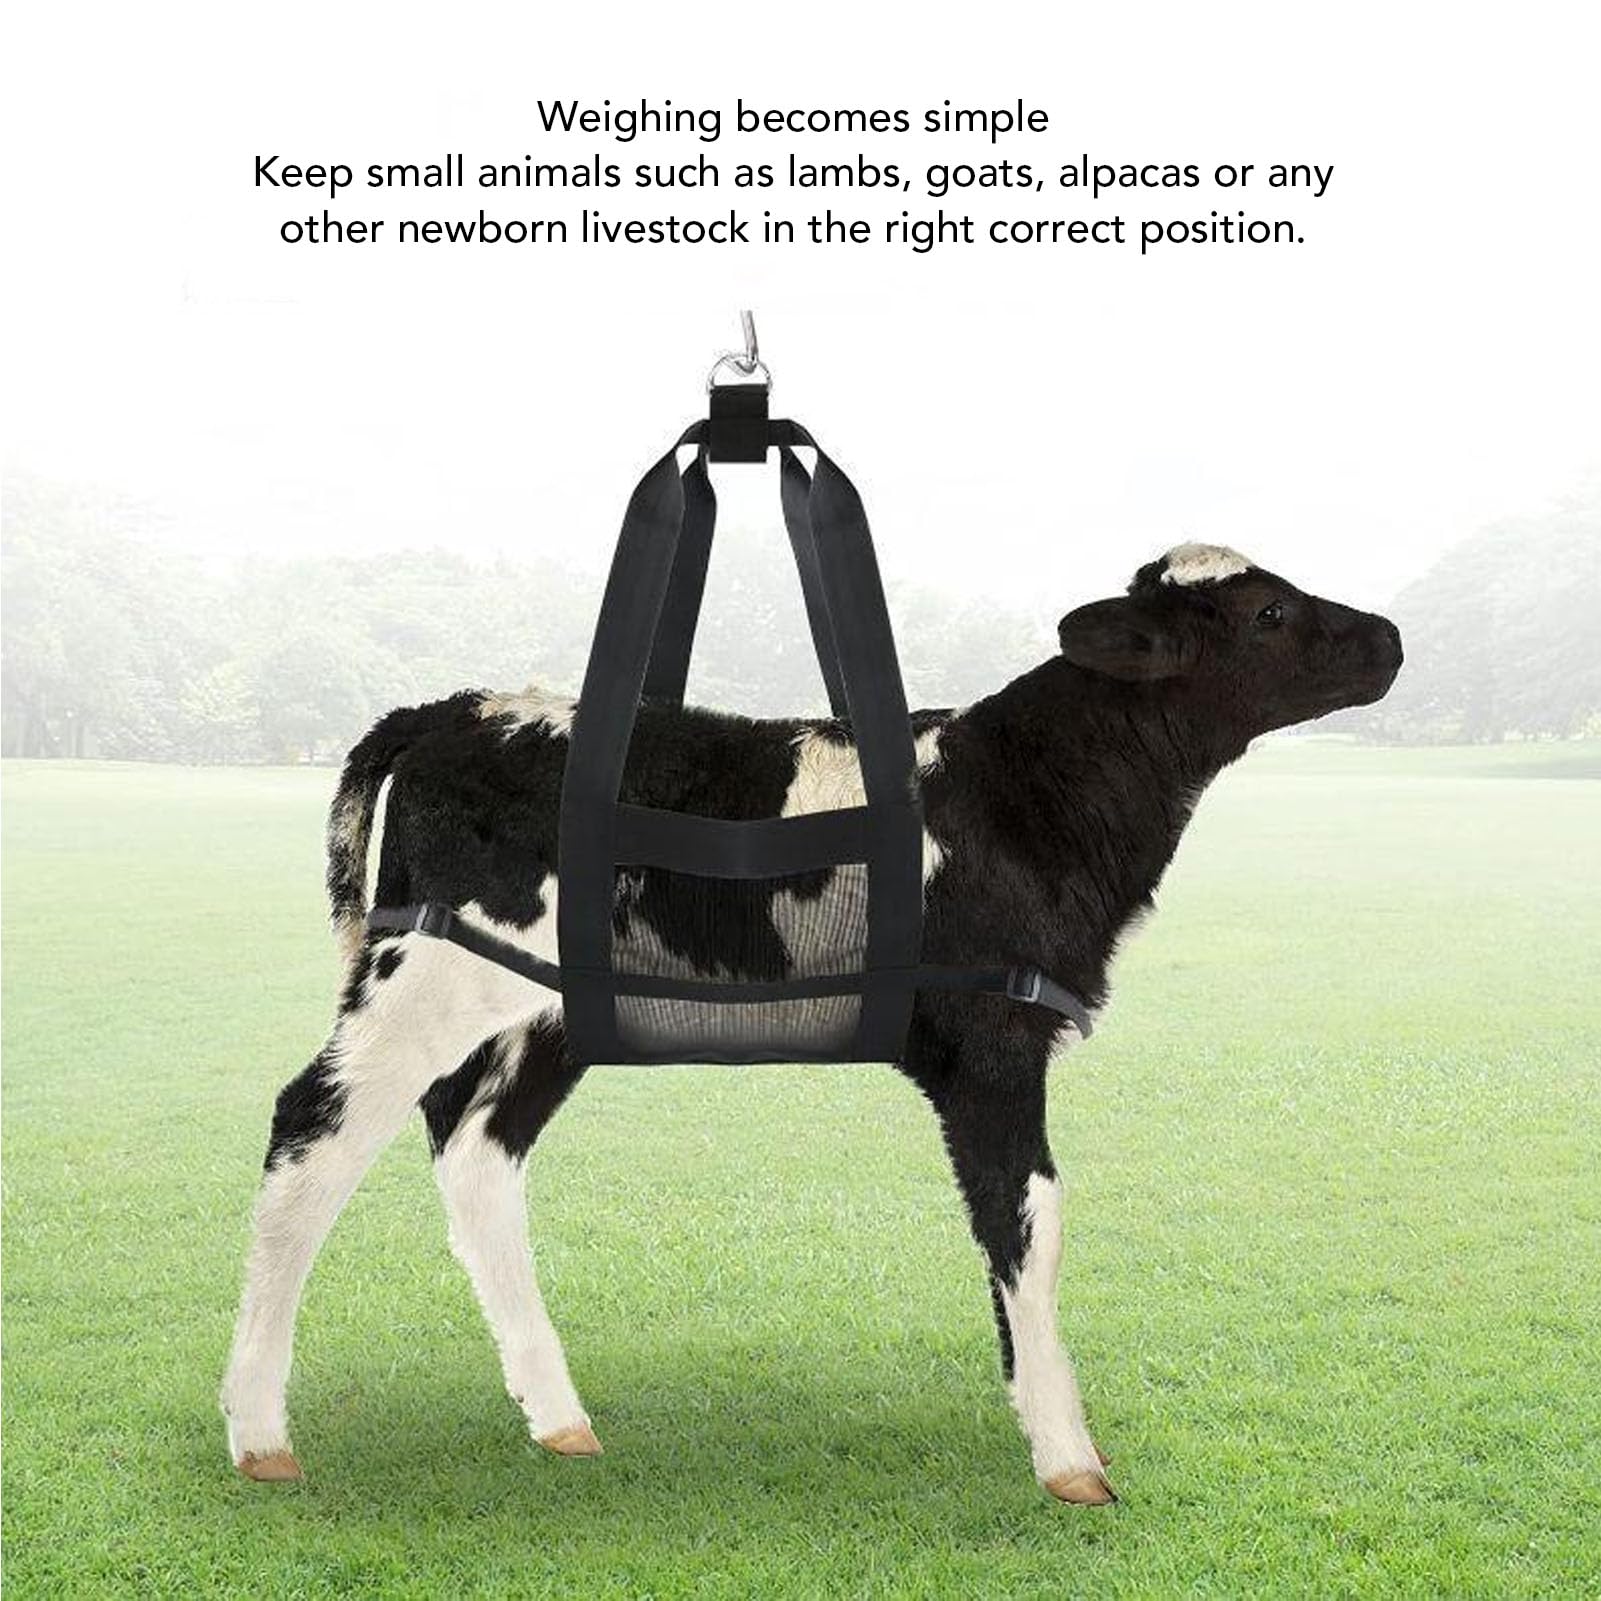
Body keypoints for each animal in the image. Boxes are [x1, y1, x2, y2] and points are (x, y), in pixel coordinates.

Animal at [221, 542, 1402, 1504]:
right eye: (1265, 612)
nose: (1389, 637)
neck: (1028, 797)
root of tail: (450, 707)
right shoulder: (993, 1038)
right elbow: (1029, 1217)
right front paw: (1068, 1456)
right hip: (425, 969)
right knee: (310, 1131)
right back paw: (258, 1431)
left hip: (542, 1009)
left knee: (474, 1151)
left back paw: (558, 1420)